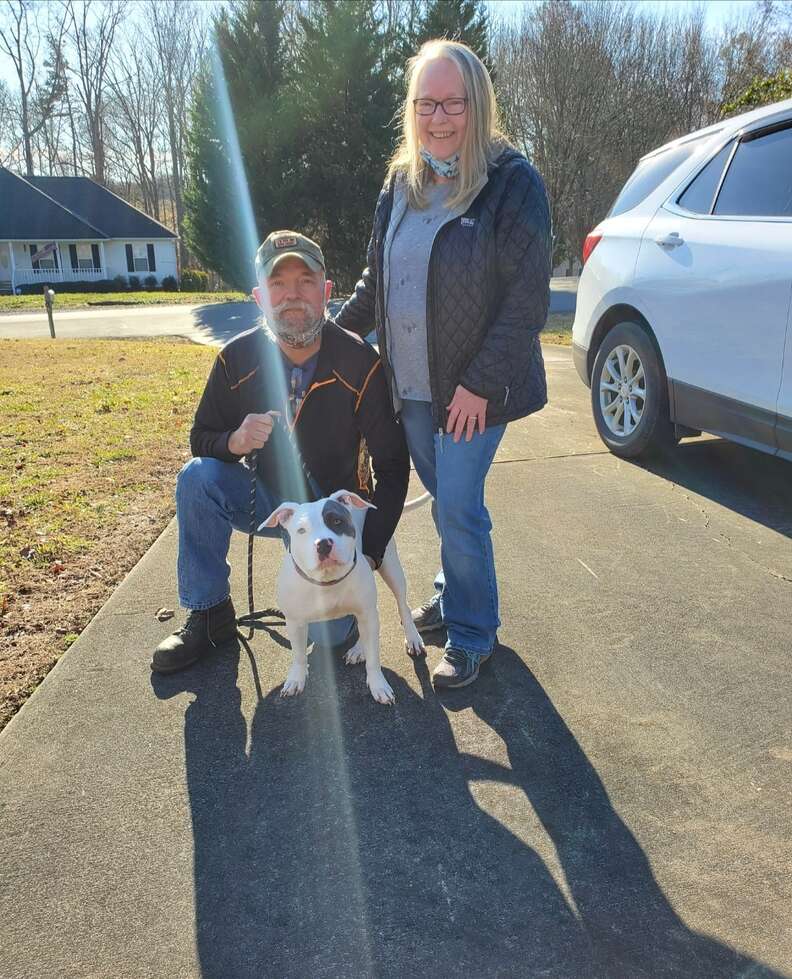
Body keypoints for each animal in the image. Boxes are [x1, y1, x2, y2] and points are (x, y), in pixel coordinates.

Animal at [260, 490, 424, 704]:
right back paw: (359, 649)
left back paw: (411, 638)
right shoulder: (295, 622)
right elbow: (299, 655)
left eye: (337, 521)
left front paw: (378, 685)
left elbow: (374, 659)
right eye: (301, 530)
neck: (327, 581)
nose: (323, 544)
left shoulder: (367, 611)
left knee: (402, 606)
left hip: (390, 568)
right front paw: (296, 679)